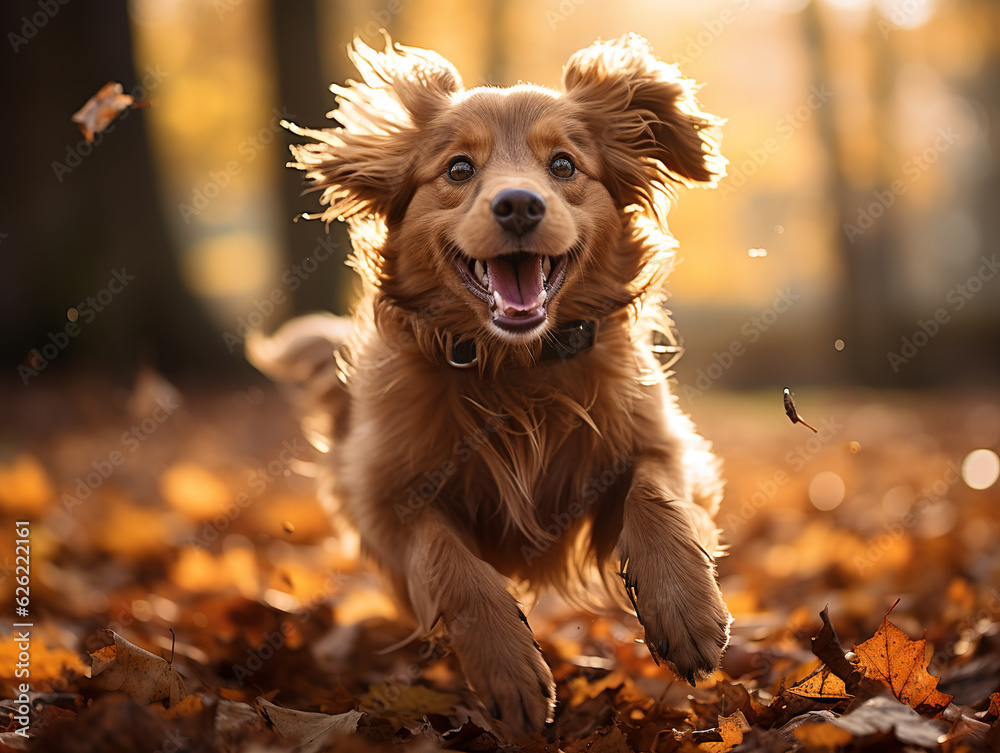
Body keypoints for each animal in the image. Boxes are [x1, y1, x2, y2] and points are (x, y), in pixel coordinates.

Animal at [248, 33, 736, 736]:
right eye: (458, 169)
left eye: (563, 165)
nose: (519, 204)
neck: (516, 368)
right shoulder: (385, 502)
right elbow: (451, 565)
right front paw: (508, 668)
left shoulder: (661, 442)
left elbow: (654, 496)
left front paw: (686, 611)